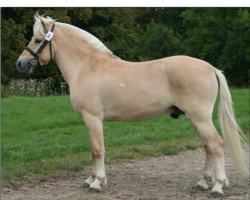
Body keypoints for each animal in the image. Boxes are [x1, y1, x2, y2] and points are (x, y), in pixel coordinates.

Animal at [16, 14, 248, 197]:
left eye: (38, 40)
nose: (20, 63)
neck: (88, 67)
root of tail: (211, 68)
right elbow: (94, 151)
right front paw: (91, 179)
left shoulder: (93, 118)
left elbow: (97, 150)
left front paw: (96, 183)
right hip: (197, 119)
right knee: (208, 146)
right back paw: (203, 182)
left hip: (200, 118)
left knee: (216, 145)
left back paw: (217, 187)